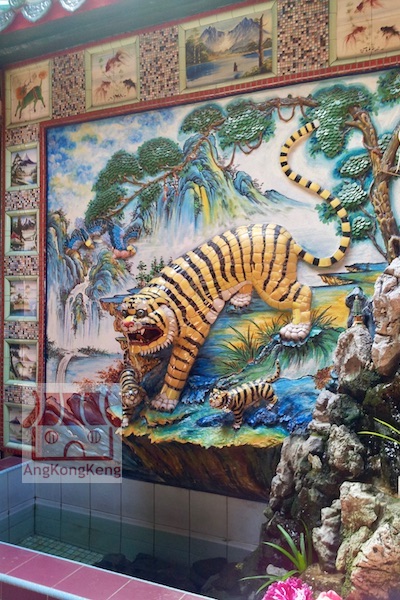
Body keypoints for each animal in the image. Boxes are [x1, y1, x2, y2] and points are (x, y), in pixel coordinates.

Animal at [114, 120, 351, 412]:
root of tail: (286, 234)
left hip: (273, 282)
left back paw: (296, 329)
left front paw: (164, 400)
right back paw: (239, 299)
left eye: (140, 313)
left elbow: (176, 369)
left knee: (303, 292)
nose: (126, 325)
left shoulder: (190, 335)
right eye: (123, 313)